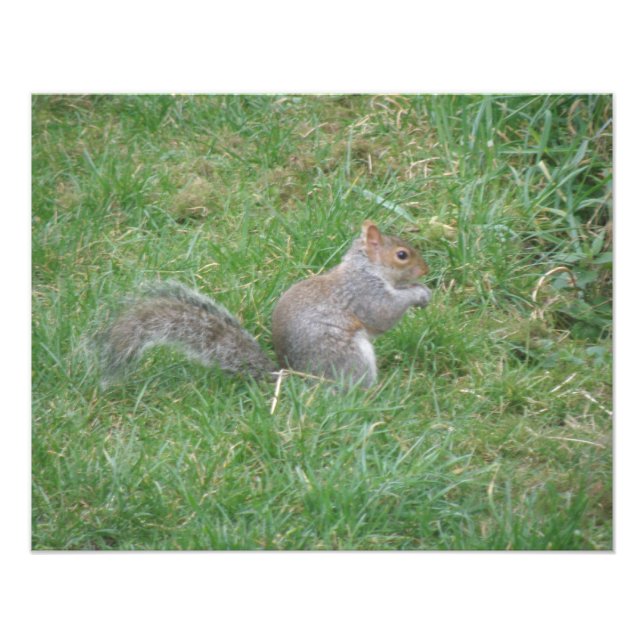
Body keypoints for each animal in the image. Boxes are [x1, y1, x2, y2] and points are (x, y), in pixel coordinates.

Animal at [98, 220, 431, 388]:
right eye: (402, 255)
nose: (426, 270)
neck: (366, 268)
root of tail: (293, 379)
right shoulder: (364, 294)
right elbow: (384, 314)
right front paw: (418, 294)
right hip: (349, 356)